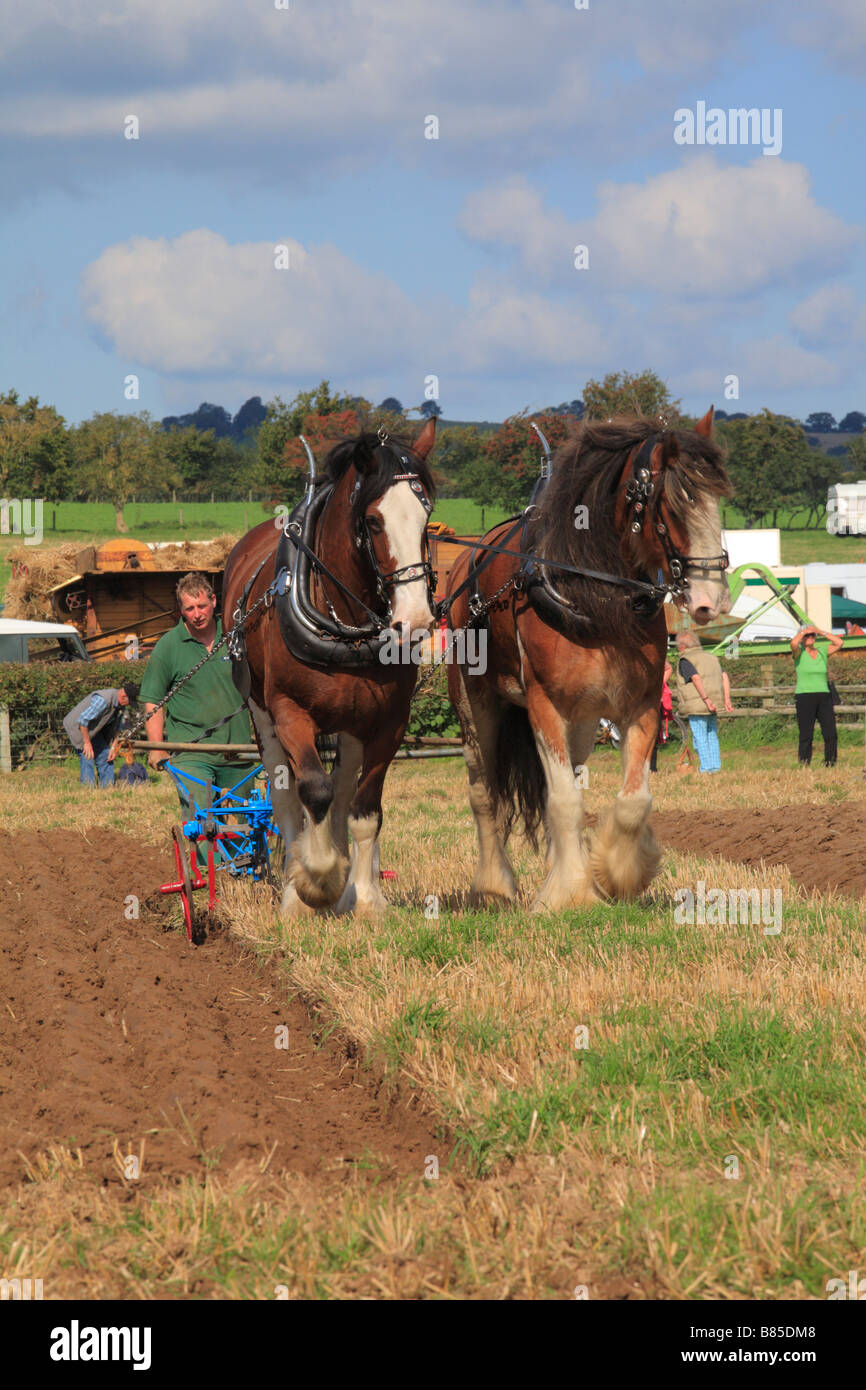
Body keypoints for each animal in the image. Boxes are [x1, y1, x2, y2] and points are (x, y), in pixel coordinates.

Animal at [223, 417, 439, 917]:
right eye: (374, 521)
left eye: (426, 517)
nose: (415, 622)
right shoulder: (290, 713)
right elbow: (311, 794)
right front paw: (315, 882)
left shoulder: (388, 722)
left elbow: (364, 809)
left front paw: (363, 898)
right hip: (262, 716)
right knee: (290, 797)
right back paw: (296, 883)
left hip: (352, 722)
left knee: (342, 794)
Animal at [447, 405, 733, 911]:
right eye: (672, 503)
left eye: (718, 499)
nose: (711, 600)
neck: (596, 596)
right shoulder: (544, 706)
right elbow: (561, 800)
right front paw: (568, 894)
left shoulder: (639, 706)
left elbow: (632, 801)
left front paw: (614, 875)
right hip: (475, 704)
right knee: (485, 794)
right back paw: (493, 886)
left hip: (580, 722)